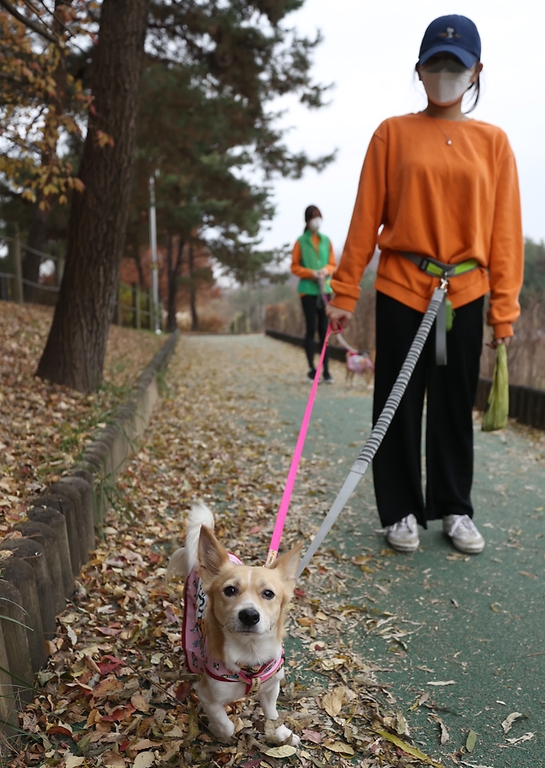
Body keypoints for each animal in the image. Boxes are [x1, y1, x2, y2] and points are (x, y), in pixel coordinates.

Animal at [166, 504, 302, 744]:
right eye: (230, 590)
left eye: (268, 594)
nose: (249, 615)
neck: (251, 653)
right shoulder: (207, 696)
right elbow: (226, 726)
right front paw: (216, 730)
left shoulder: (271, 689)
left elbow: (272, 715)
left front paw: (282, 734)